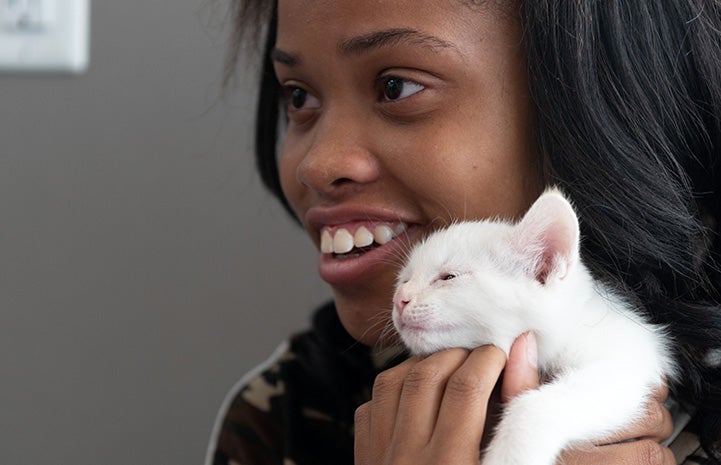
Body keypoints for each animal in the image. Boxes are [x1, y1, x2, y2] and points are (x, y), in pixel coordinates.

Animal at [394, 187, 676, 464]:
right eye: (404, 280)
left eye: (449, 277)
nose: (399, 299)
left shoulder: (629, 363)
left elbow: (535, 406)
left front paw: (511, 455)